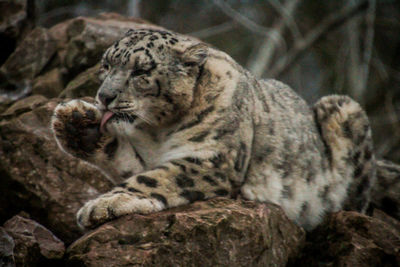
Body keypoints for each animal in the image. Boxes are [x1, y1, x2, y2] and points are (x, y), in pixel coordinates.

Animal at [50, 28, 382, 231]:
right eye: (106, 65)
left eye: (141, 71)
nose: (104, 96)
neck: (157, 133)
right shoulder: (145, 155)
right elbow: (130, 163)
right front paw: (75, 122)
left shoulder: (215, 159)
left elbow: (155, 178)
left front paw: (103, 204)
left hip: (344, 109)